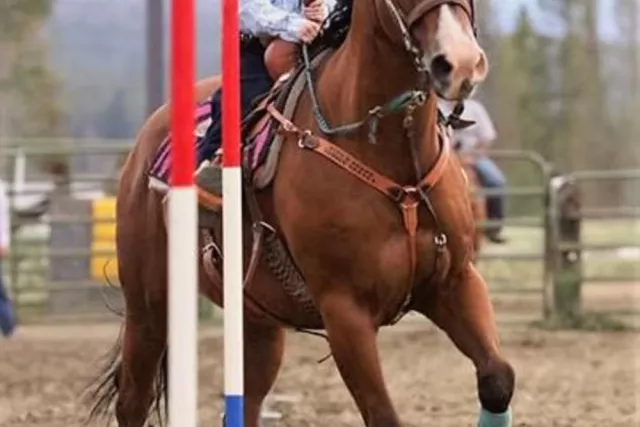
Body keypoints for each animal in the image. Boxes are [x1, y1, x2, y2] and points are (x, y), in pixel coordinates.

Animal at [87, 0, 516, 427]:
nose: (460, 63)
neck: (388, 158)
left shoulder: (456, 281)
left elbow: (498, 379)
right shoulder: (345, 311)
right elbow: (383, 414)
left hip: (257, 326)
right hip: (149, 307)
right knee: (133, 401)